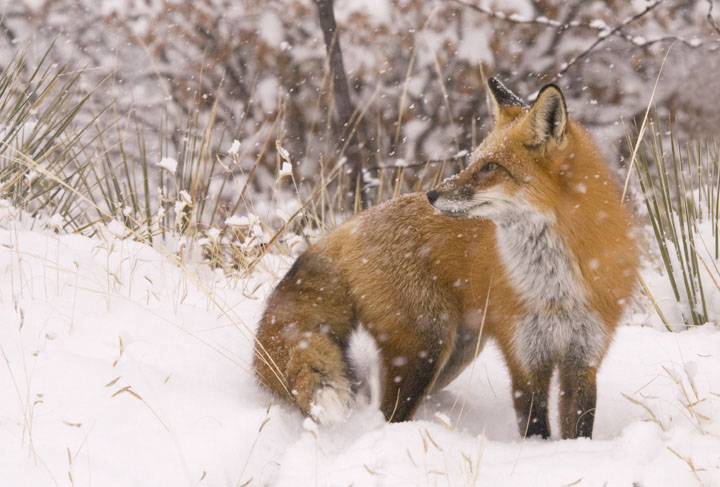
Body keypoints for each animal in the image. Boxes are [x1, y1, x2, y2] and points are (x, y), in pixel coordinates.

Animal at [253, 79, 639, 439]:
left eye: (491, 167)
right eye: (473, 162)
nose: (432, 195)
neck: (554, 287)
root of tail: (351, 225)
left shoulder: (584, 355)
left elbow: (580, 424)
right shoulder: (523, 355)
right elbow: (534, 423)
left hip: (454, 354)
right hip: (425, 348)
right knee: (388, 413)